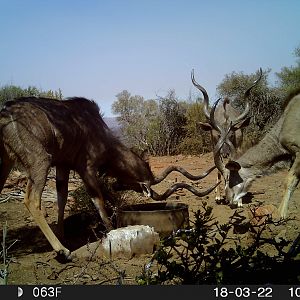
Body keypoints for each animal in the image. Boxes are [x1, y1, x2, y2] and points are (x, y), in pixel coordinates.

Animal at [0, 96, 217, 260]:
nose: (117, 186)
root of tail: (5, 114)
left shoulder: (63, 165)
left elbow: (62, 198)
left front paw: (62, 235)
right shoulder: (86, 167)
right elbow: (98, 200)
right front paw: (111, 230)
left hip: (8, 162)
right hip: (40, 162)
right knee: (31, 200)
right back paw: (63, 251)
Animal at [191, 68, 262, 202]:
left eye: (231, 135)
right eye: (218, 135)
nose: (225, 153)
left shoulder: (236, 148)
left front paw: (238, 200)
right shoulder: (215, 147)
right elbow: (219, 169)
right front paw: (219, 196)